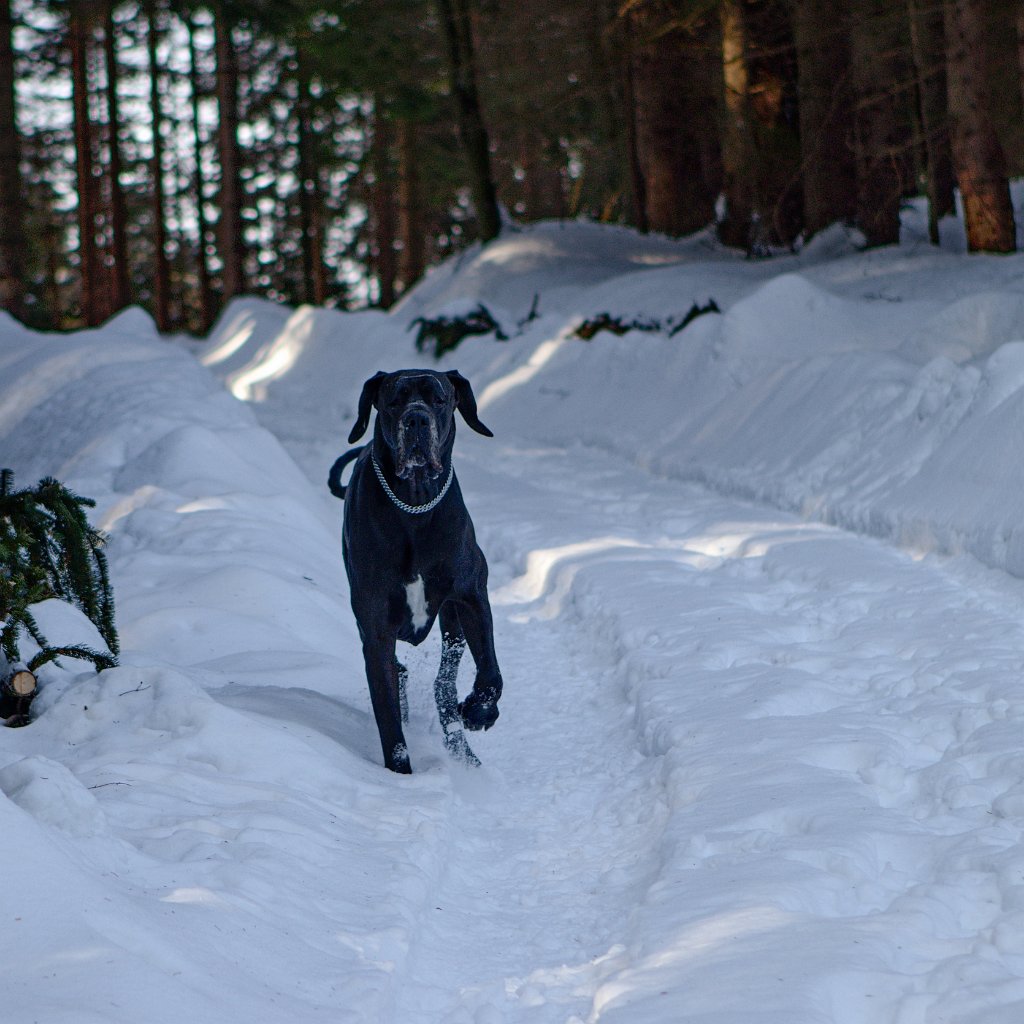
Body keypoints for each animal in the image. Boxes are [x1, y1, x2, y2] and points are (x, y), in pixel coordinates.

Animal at [327, 372, 503, 770]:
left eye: (439, 399)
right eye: (394, 400)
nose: (417, 419)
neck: (414, 505)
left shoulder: (471, 595)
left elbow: (490, 673)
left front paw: (478, 712)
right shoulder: (376, 628)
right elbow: (390, 722)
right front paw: (400, 774)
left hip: (451, 620)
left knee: (444, 682)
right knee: (405, 676)